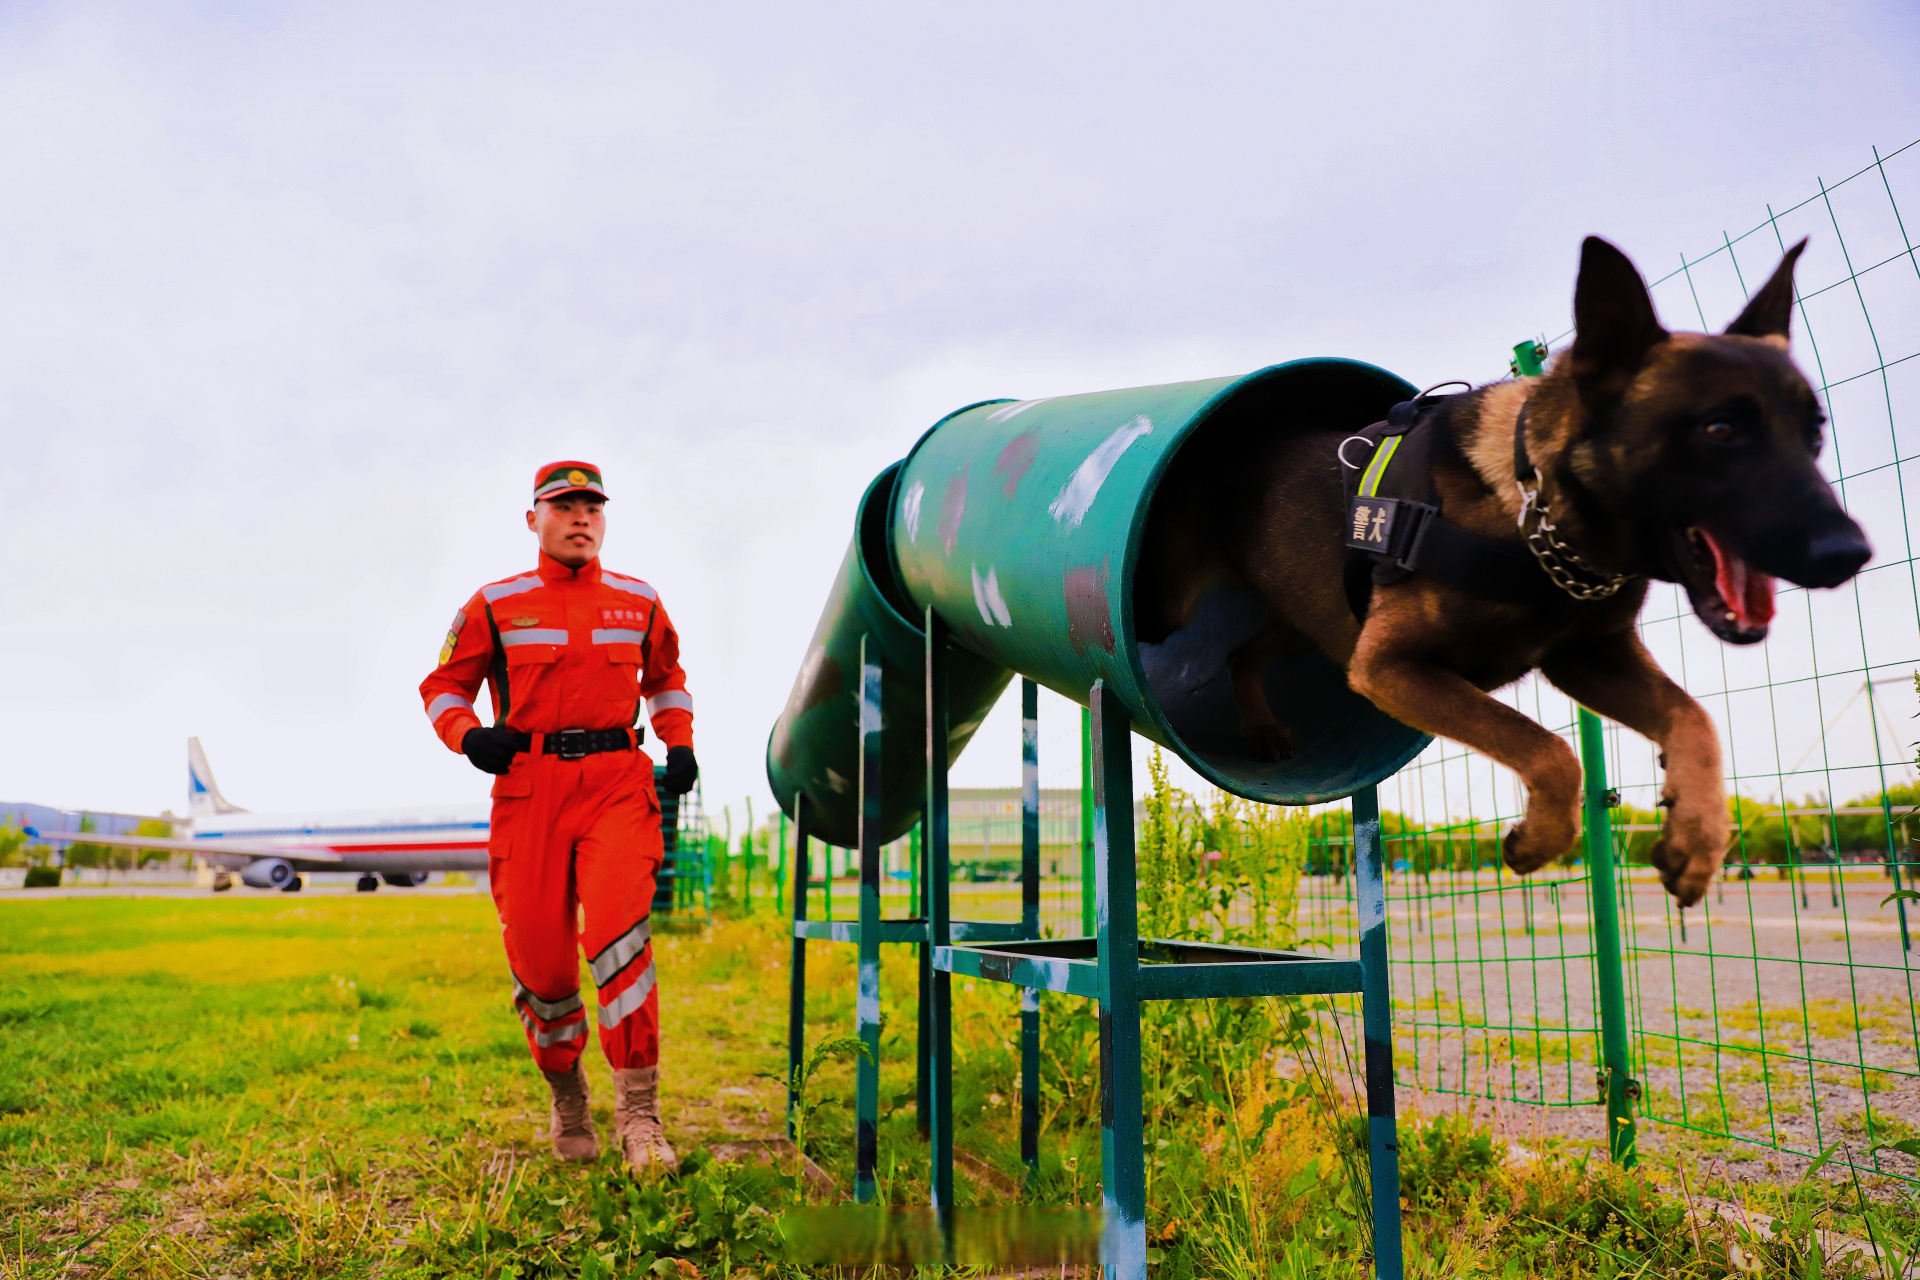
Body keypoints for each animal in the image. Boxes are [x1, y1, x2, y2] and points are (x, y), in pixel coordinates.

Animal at [1136, 235, 1873, 905]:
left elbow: (1694, 719)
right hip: (1180, 609)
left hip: (1310, 619)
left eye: (1814, 433)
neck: (1532, 510)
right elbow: (1549, 749)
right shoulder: (1390, 666)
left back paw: (1262, 727)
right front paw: (1540, 838)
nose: (1851, 553)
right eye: (1719, 430)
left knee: (1243, 653)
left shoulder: (1587, 659)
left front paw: (1697, 838)